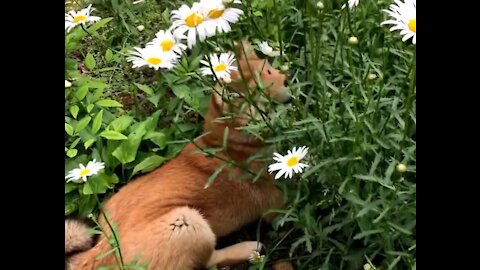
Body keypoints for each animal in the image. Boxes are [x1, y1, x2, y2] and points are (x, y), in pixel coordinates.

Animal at [66, 40, 292, 270]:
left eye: (269, 71)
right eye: (258, 93)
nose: (288, 84)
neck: (228, 142)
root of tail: (104, 251)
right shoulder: (277, 205)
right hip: (189, 222)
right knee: (209, 261)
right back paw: (247, 249)